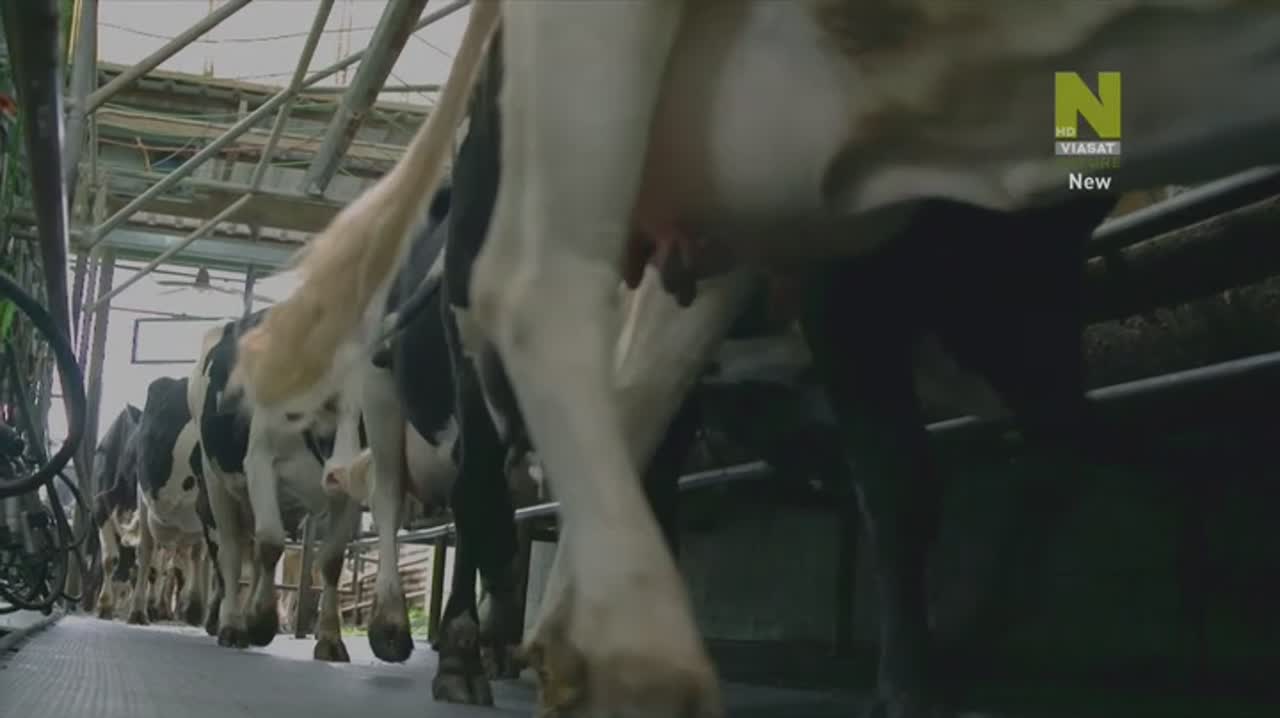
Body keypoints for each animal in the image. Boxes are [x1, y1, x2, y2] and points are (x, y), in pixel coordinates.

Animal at [190, 312, 361, 661]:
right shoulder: (260, 460)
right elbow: (271, 543)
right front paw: (262, 621)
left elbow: (332, 561)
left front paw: (330, 639)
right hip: (216, 484)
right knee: (231, 553)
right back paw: (232, 624)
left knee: (253, 556)